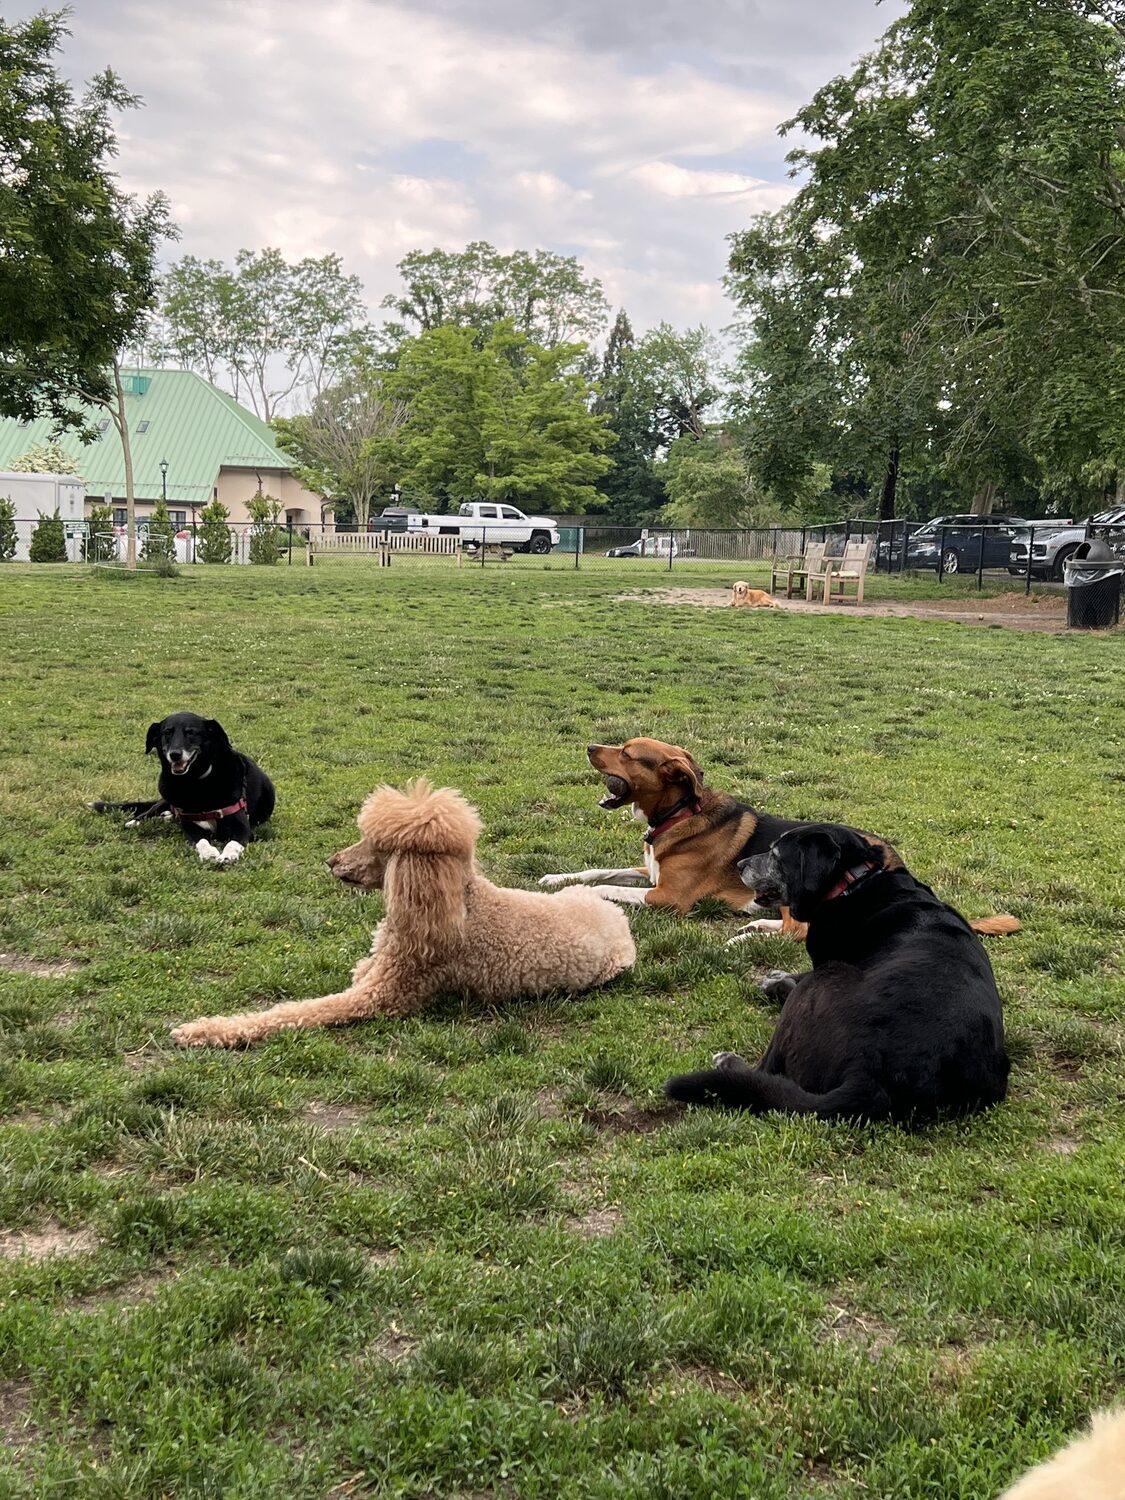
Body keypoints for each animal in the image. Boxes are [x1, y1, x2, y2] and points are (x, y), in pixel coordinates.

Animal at [89, 714, 276, 870]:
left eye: (191, 732)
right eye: (167, 732)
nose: (175, 754)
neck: (195, 783)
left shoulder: (242, 827)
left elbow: (233, 843)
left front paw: (228, 856)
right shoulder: (191, 826)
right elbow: (201, 841)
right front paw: (209, 853)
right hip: (165, 795)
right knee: (151, 810)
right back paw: (138, 821)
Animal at [543, 744, 1026, 942]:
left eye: (626, 753)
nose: (589, 744)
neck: (680, 813)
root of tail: (892, 861)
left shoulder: (667, 897)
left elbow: (607, 887)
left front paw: (576, 891)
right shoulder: (649, 872)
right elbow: (599, 869)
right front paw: (554, 877)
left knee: (797, 931)